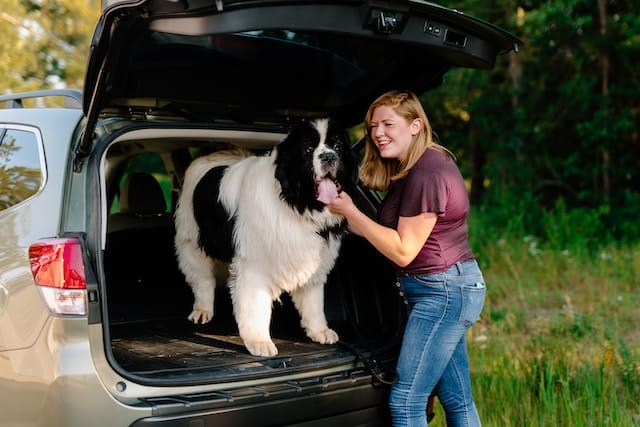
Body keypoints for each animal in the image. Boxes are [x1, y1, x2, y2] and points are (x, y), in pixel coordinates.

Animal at [172, 118, 358, 356]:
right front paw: (259, 341)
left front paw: (319, 330)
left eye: (337, 146)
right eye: (308, 149)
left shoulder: (311, 260)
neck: (294, 203)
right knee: (202, 278)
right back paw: (203, 309)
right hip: (191, 240)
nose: (328, 157)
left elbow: (313, 301)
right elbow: (255, 306)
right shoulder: (254, 265)